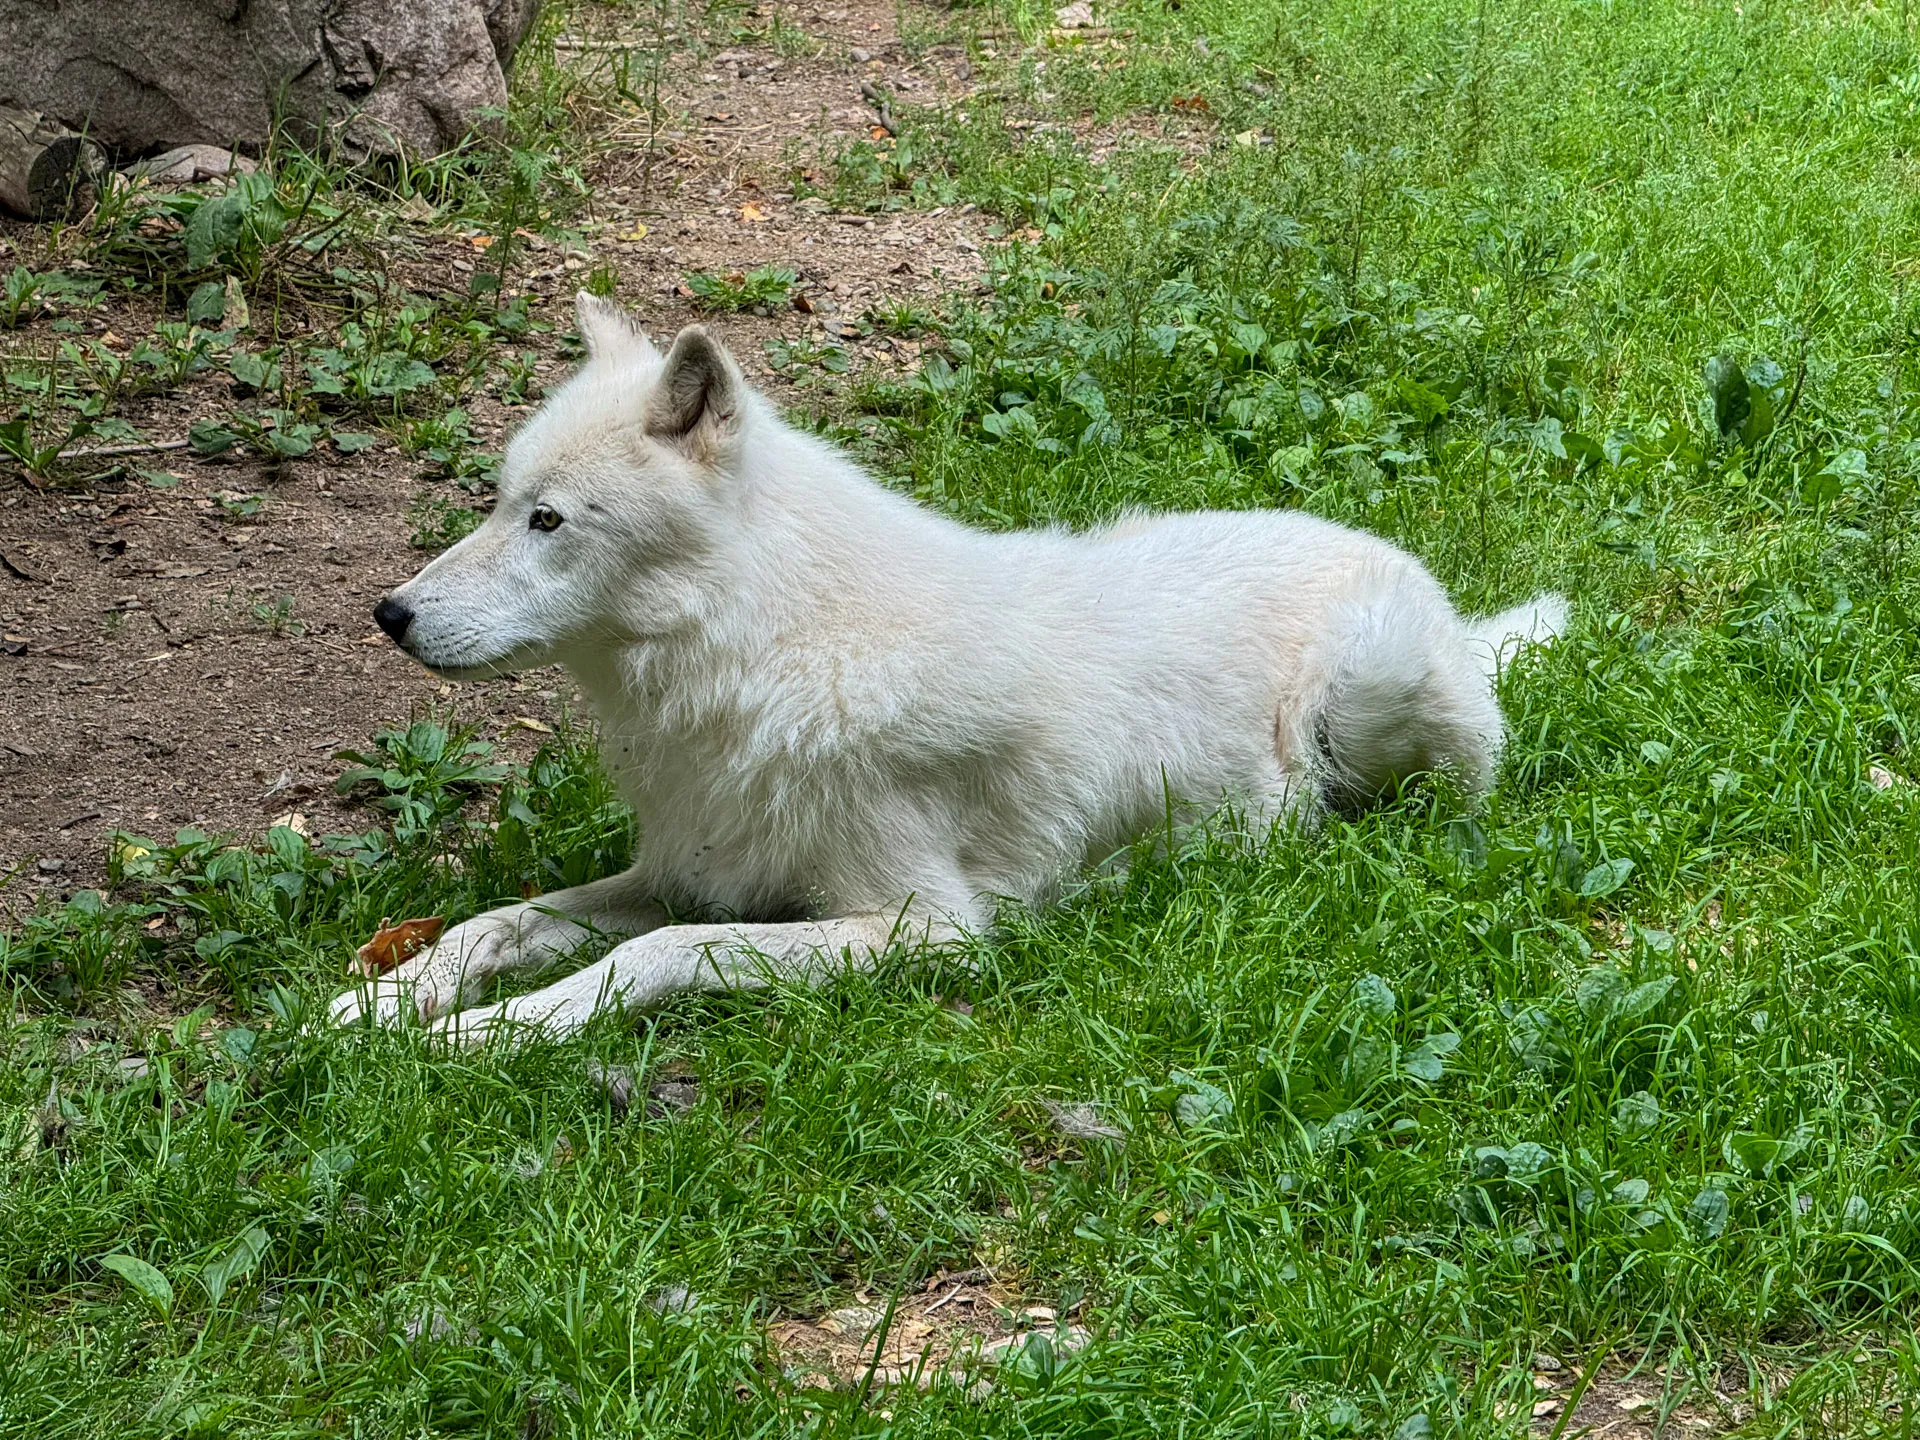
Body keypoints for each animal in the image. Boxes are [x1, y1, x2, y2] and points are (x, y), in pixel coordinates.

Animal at [331, 293, 1565, 1043]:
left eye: (547, 521)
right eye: (498, 502)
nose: (390, 614)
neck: (769, 654)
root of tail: (1445, 605)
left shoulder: (920, 929)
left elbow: (656, 958)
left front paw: (485, 1035)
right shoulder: (688, 869)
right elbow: (500, 921)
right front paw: (382, 1004)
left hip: (1364, 690)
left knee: (1407, 808)